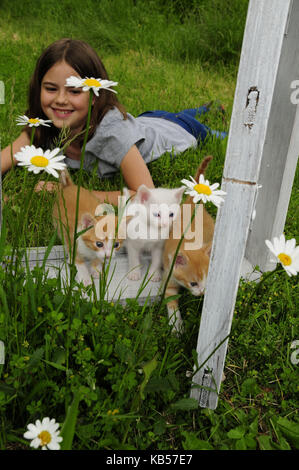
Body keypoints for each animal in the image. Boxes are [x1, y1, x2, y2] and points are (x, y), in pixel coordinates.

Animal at [164, 156, 216, 332]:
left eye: (207, 279)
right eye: (193, 283)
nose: (202, 293)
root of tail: (193, 203)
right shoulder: (169, 274)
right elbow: (170, 298)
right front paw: (176, 325)